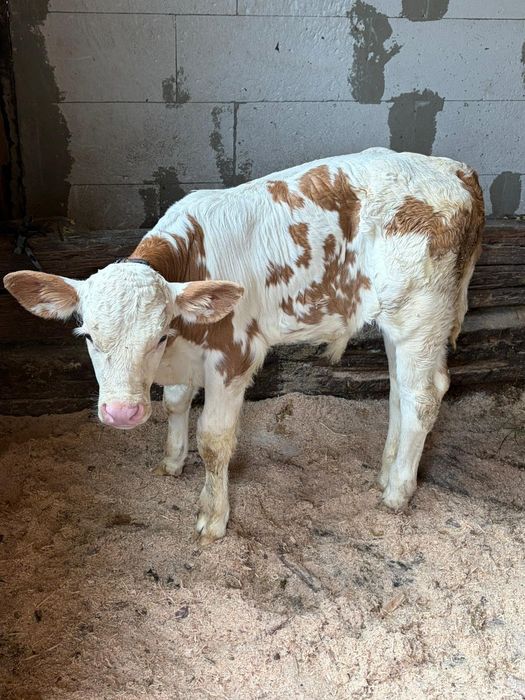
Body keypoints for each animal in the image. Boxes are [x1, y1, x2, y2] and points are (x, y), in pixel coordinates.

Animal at [4, 148, 484, 545]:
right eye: (87, 335)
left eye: (158, 334)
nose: (122, 413)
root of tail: (453, 169)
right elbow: (175, 403)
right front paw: (172, 462)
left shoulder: (234, 354)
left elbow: (214, 441)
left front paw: (213, 518)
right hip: (396, 323)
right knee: (399, 390)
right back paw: (385, 473)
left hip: (421, 314)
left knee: (424, 395)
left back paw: (398, 491)